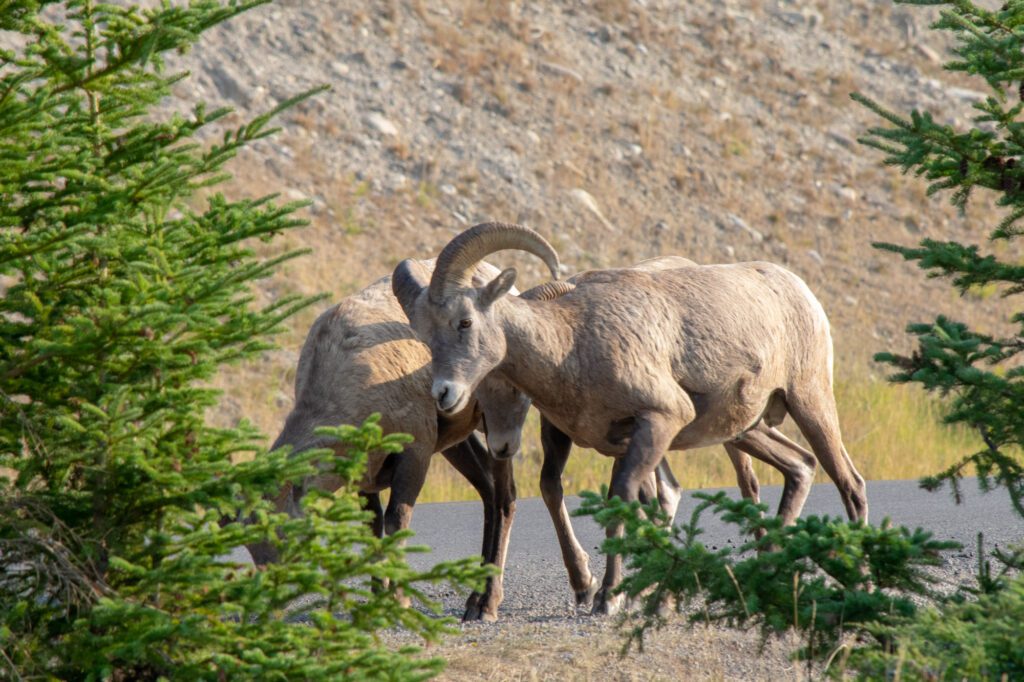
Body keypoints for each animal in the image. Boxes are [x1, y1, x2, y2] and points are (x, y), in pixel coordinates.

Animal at [391, 220, 864, 614]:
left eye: (464, 322)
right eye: (426, 337)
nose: (443, 394)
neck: (572, 343)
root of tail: (799, 289)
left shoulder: (658, 421)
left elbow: (623, 502)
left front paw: (609, 599)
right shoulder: (615, 439)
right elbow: (622, 504)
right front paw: (631, 596)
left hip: (810, 402)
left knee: (849, 483)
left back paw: (860, 582)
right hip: (749, 430)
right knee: (801, 466)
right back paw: (767, 577)